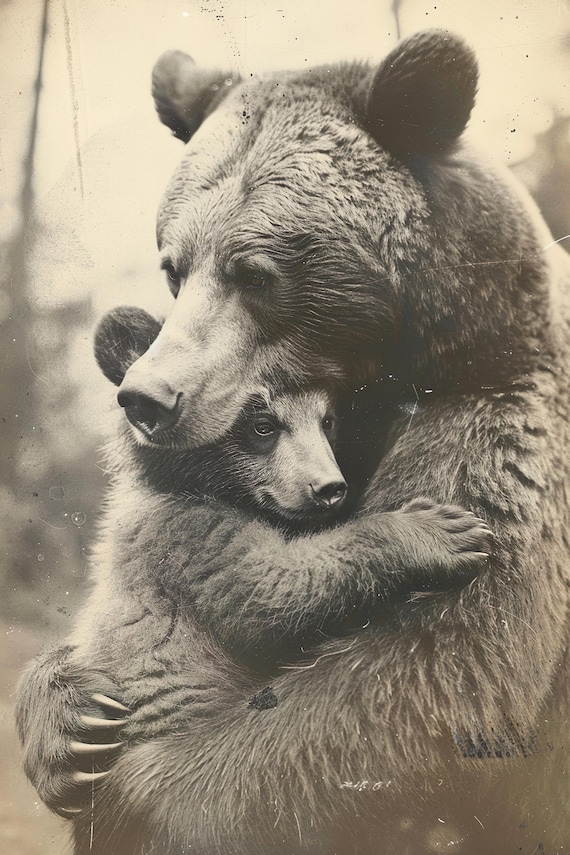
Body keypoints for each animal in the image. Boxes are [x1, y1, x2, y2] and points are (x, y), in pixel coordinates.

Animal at [16, 28, 570, 855]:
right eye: (173, 266)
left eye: (254, 271)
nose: (150, 396)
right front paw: (68, 723)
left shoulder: (495, 425)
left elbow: (423, 675)